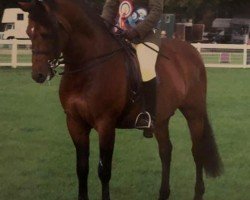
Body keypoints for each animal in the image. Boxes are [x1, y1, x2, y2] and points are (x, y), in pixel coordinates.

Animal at [19, 0, 223, 200]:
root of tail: (192, 51)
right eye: (29, 32)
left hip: (194, 113)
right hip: (161, 119)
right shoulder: (75, 123)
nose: (38, 75)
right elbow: (82, 169)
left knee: (197, 152)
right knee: (166, 151)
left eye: (45, 33)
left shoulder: (106, 125)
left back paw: (198, 192)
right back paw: (163, 194)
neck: (90, 67)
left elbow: (104, 171)